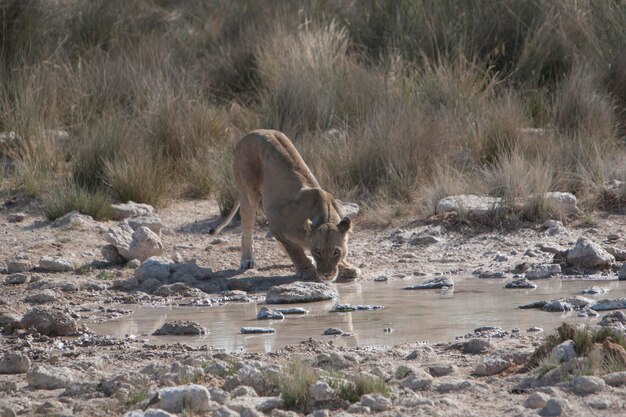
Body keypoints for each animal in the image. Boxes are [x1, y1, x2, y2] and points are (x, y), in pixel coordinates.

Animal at [210, 128, 358, 282]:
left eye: (336, 251)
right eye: (317, 251)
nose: (326, 274)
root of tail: (253, 132)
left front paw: (347, 267)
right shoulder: (276, 221)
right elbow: (294, 250)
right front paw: (306, 270)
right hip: (248, 191)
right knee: (247, 229)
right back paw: (247, 260)